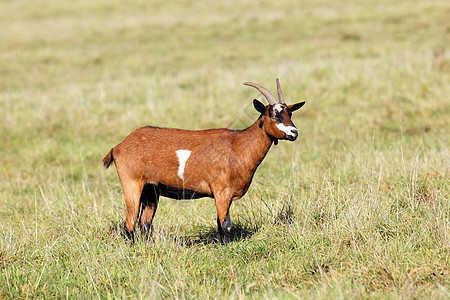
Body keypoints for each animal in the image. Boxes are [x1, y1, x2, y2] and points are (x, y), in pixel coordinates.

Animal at [102, 79, 306, 244]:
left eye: (290, 113)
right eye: (273, 114)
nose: (294, 132)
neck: (238, 146)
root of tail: (118, 146)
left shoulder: (224, 195)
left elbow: (220, 223)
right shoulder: (221, 192)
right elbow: (225, 224)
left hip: (151, 190)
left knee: (144, 224)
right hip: (132, 184)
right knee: (129, 224)